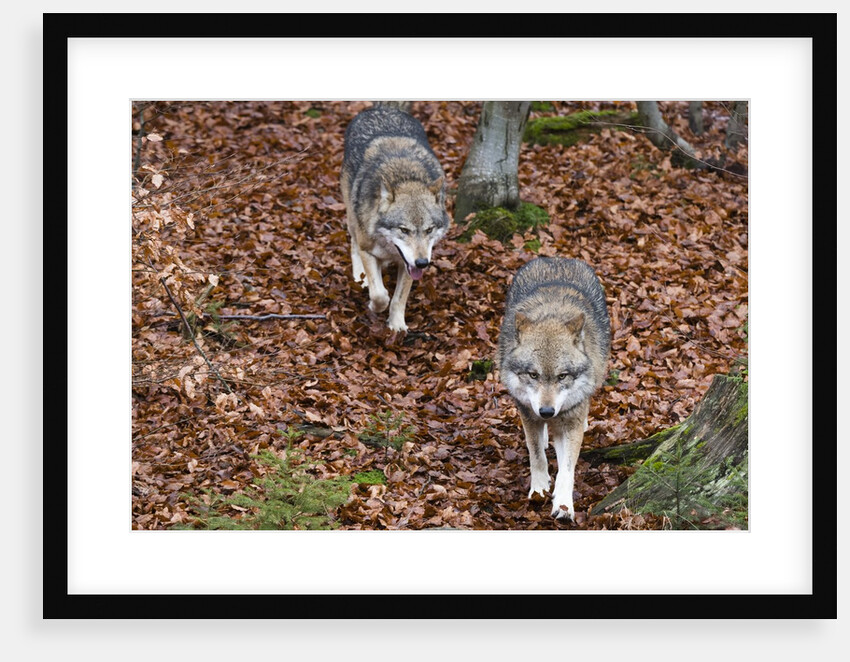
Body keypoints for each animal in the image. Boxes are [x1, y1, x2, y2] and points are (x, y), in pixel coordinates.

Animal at [340, 106, 450, 332]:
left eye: (429, 230)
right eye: (404, 230)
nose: (422, 263)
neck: (404, 177)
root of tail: (382, 108)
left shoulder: (407, 264)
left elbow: (399, 299)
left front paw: (397, 325)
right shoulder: (368, 250)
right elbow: (380, 295)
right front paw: (374, 307)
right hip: (352, 218)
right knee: (353, 243)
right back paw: (359, 276)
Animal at [497, 257, 611, 521]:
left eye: (562, 376)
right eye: (533, 375)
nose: (547, 411)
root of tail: (557, 258)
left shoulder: (570, 423)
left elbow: (567, 469)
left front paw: (563, 505)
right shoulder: (528, 414)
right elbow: (536, 454)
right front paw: (539, 489)